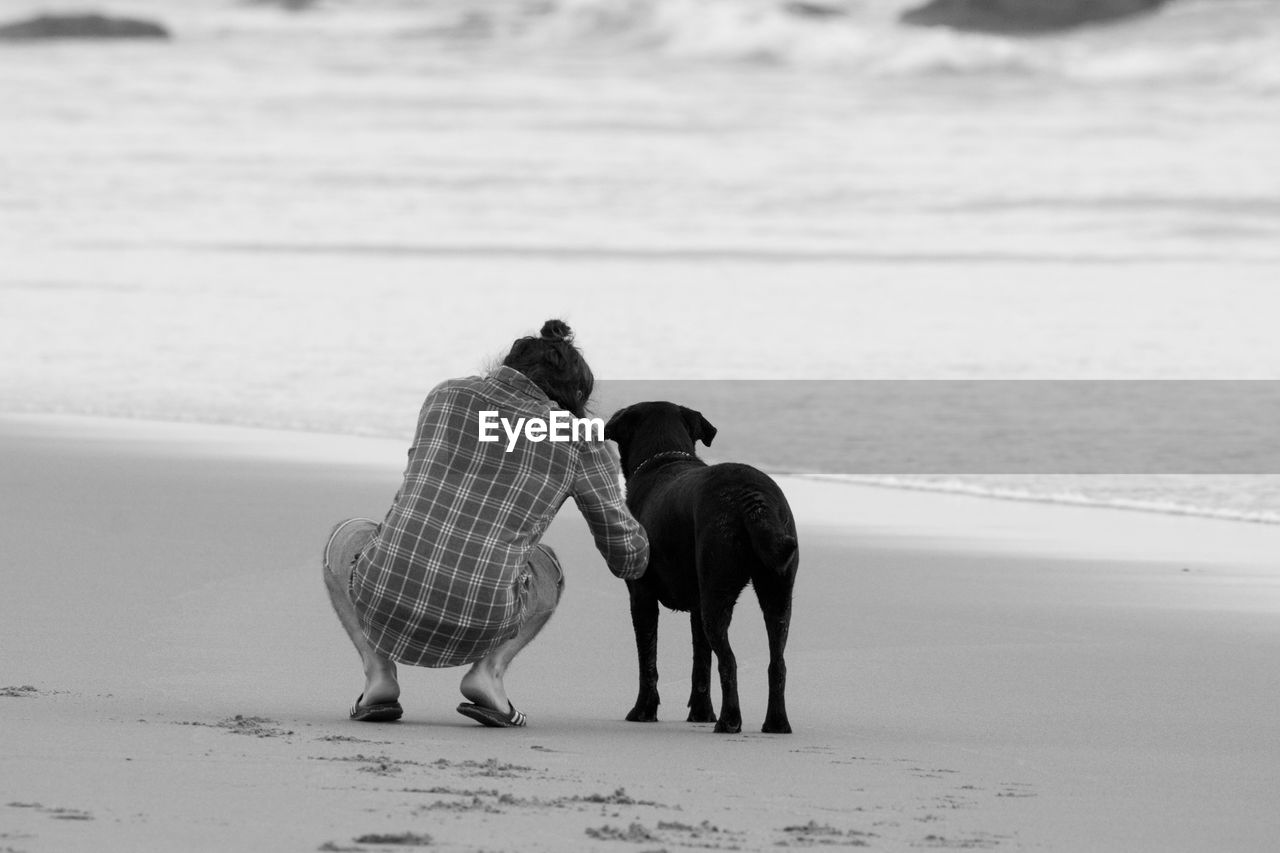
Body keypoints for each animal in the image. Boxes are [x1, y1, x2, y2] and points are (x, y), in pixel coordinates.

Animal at [601, 399, 798, 732]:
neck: (663, 458)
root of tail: (752, 497)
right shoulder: (697, 604)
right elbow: (701, 661)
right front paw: (702, 713)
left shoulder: (641, 596)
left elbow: (648, 660)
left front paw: (643, 710)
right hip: (777, 590)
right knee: (777, 662)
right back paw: (776, 723)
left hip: (717, 592)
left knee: (729, 660)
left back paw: (730, 721)